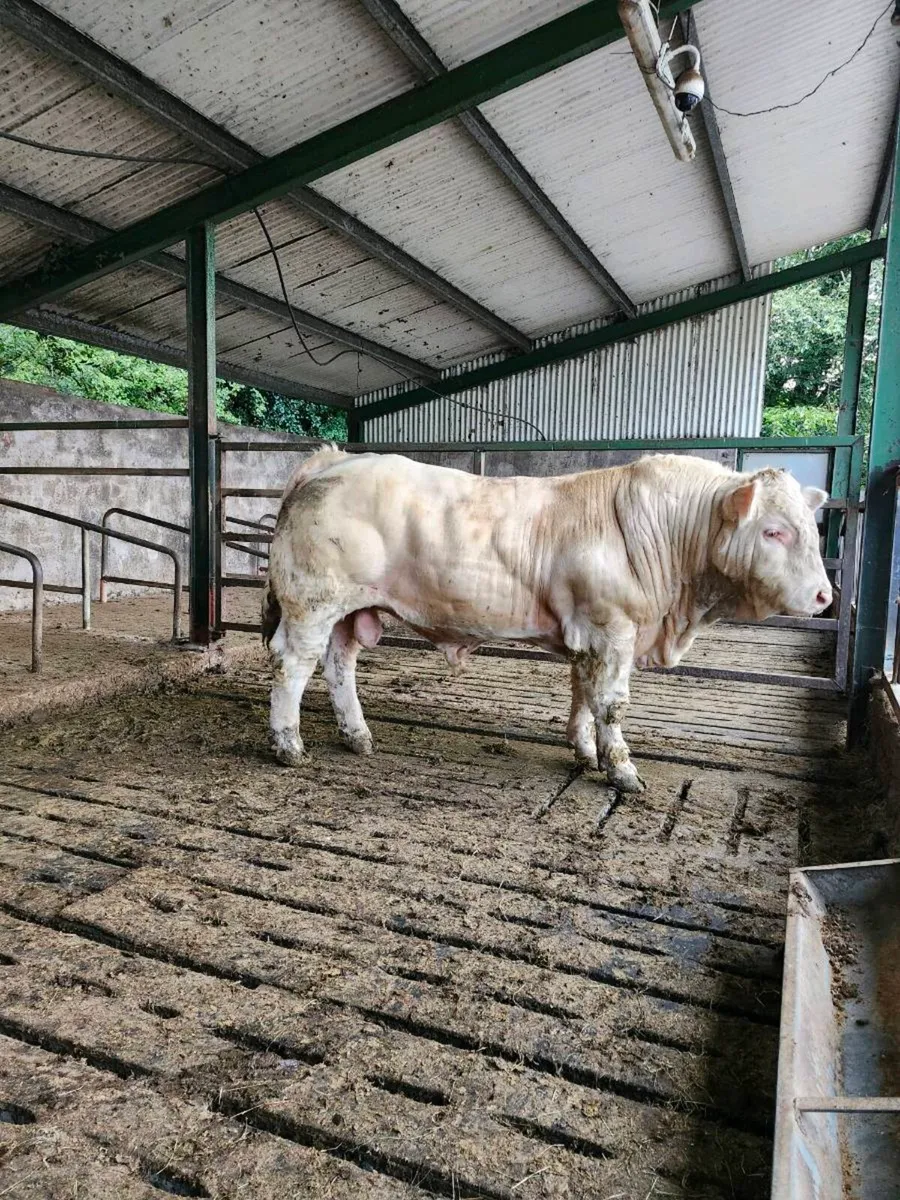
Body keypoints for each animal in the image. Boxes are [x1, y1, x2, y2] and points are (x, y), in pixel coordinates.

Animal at [262, 447, 831, 792]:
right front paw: (622, 770)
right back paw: (288, 745)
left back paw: (357, 736)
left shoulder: (589, 635)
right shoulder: (613, 629)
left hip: (350, 611)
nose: (825, 595)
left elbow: (582, 694)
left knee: (340, 666)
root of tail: (333, 460)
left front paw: (584, 751)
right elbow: (611, 705)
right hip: (313, 603)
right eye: (774, 531)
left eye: (812, 528)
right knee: (293, 667)